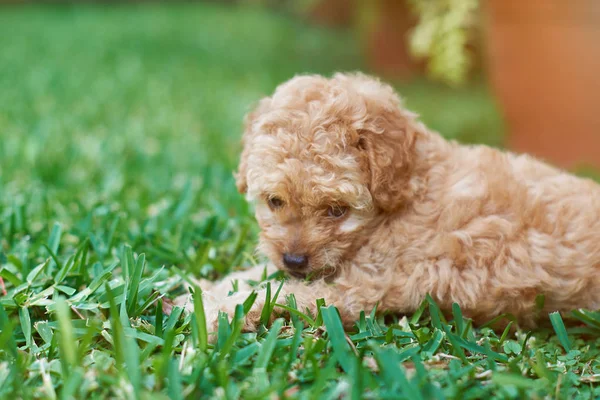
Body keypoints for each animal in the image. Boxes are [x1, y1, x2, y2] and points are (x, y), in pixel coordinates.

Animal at [183, 72, 600, 334]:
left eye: (337, 210)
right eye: (274, 201)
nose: (295, 260)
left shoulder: (359, 287)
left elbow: (282, 294)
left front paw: (211, 309)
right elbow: (259, 276)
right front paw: (203, 287)